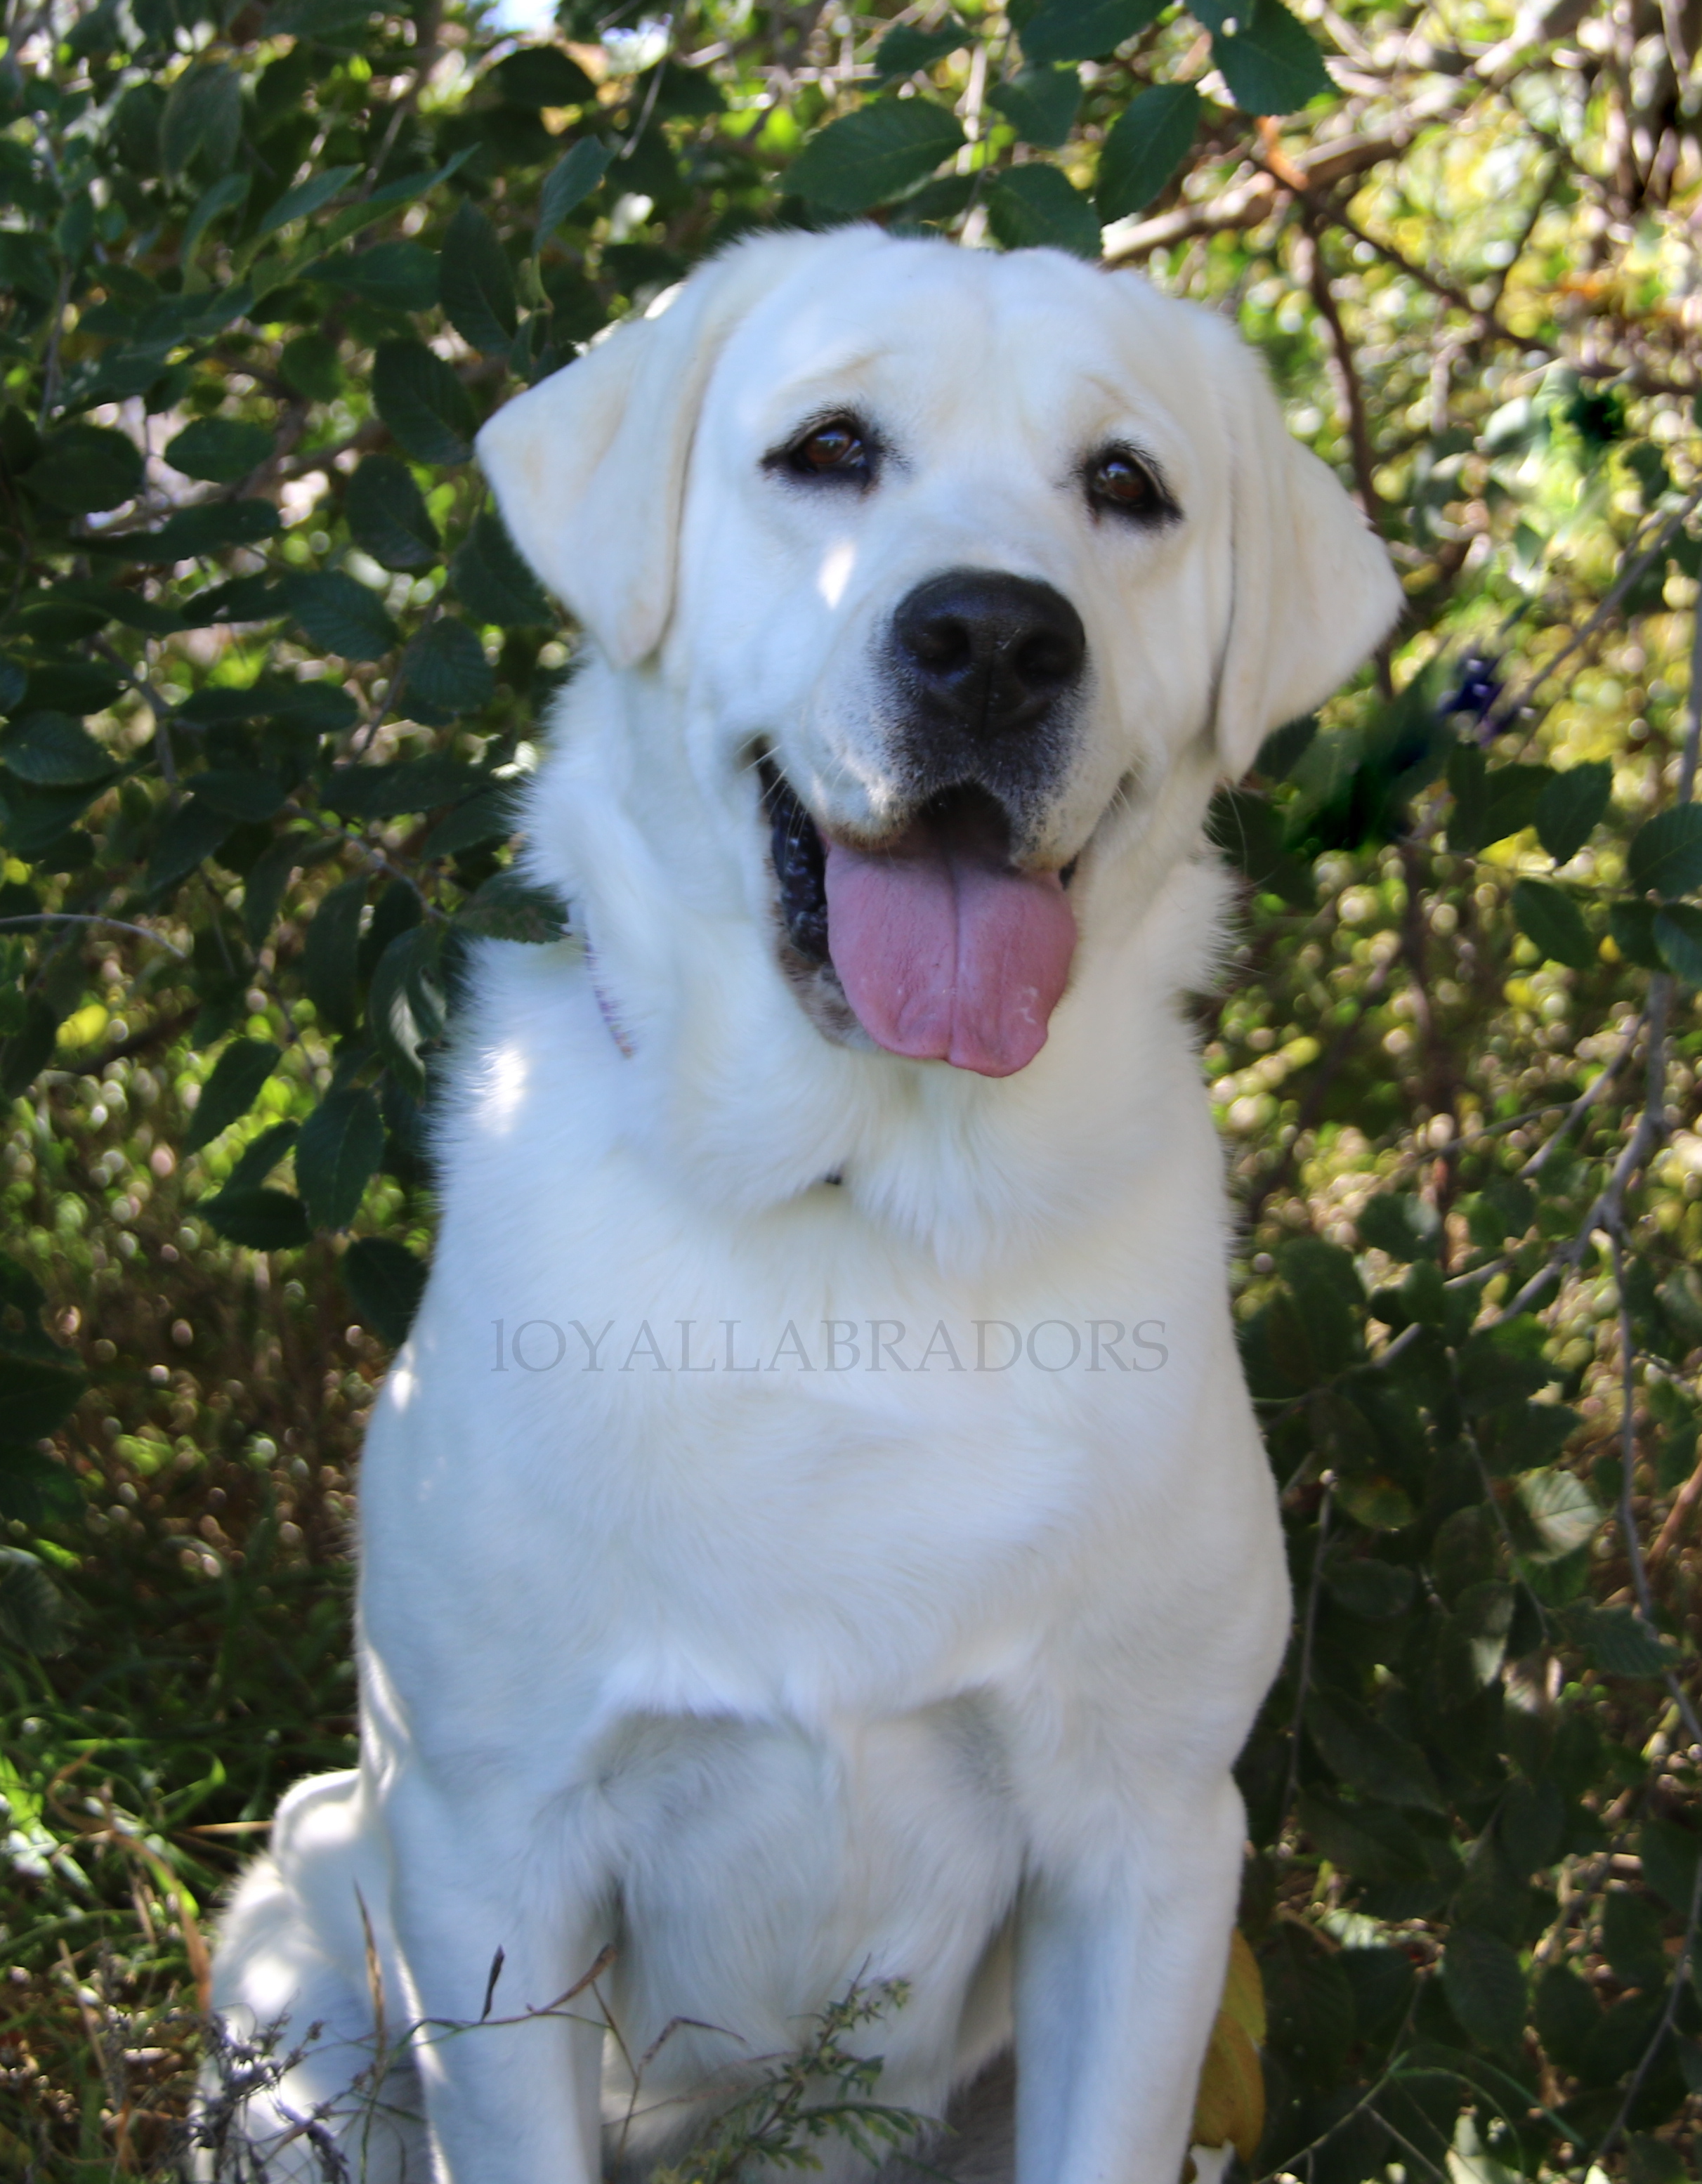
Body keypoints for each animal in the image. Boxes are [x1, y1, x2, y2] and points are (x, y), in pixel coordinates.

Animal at [209, 225, 1398, 2184]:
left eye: (1126, 486)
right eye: (828, 450)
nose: (994, 641)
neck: (866, 1213)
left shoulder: (1150, 1856)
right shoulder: (489, 1847)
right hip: (305, 1955)